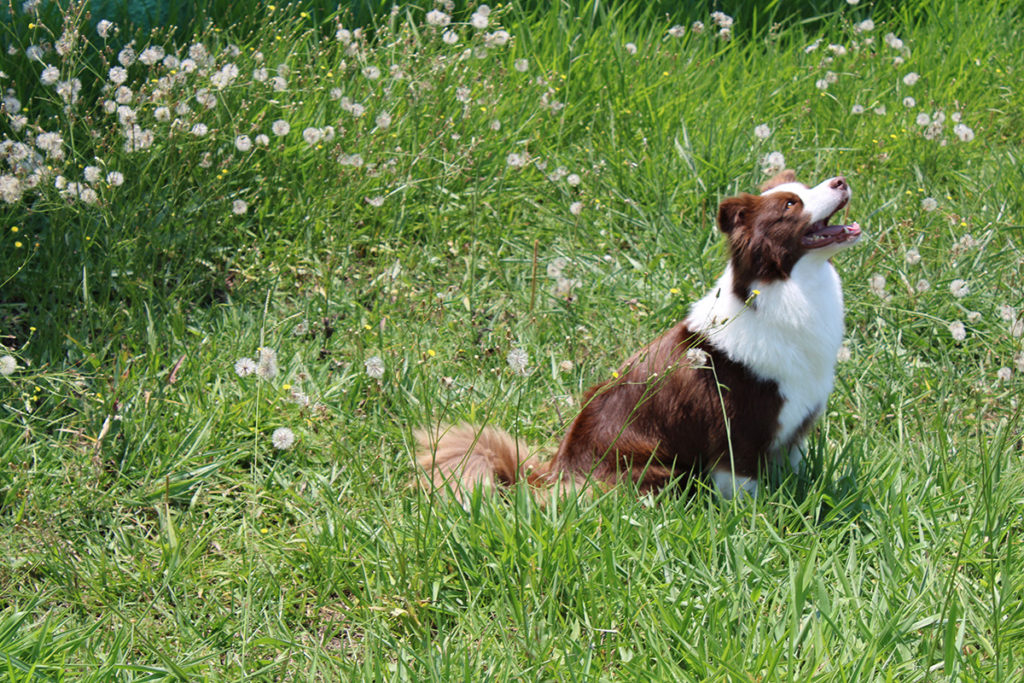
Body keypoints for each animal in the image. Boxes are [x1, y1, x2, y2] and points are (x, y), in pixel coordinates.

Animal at [415, 169, 856, 501]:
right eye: (790, 204)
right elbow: (745, 492)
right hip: (656, 469)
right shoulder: (739, 433)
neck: (785, 288)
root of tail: (555, 476)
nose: (840, 181)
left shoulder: (794, 428)